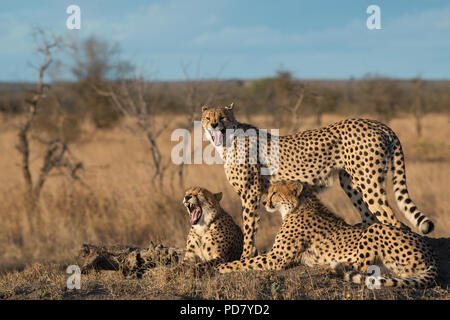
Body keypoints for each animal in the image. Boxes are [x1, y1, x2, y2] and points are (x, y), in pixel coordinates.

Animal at [202, 104, 434, 258]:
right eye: (207, 117)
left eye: (222, 116)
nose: (213, 124)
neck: (229, 140)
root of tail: (377, 123)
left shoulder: (250, 193)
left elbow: (250, 226)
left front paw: (245, 256)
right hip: (350, 182)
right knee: (370, 217)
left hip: (368, 181)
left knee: (394, 221)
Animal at [216, 181, 438, 288]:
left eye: (275, 193)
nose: (264, 202)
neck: (297, 206)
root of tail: (430, 254)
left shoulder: (276, 258)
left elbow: (243, 263)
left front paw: (220, 267)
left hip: (374, 230)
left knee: (363, 267)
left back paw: (327, 266)